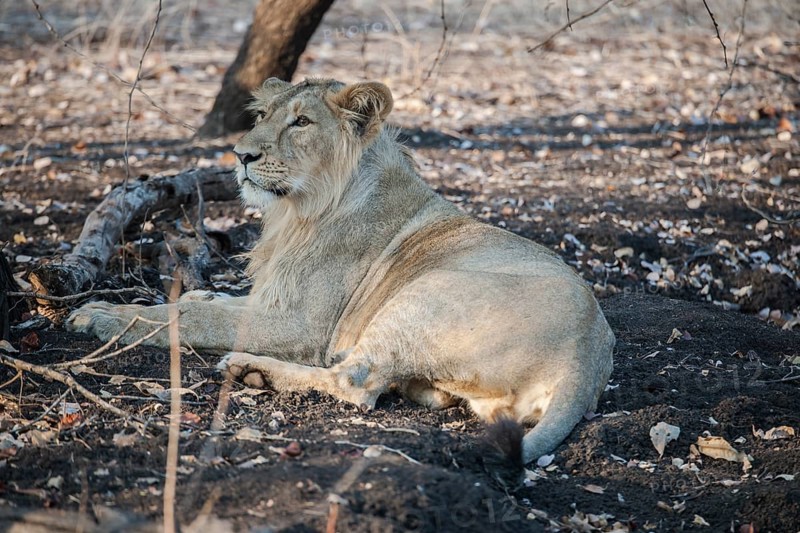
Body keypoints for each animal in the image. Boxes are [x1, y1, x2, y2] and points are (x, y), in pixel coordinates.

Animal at [67, 77, 615, 466]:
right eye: (262, 116)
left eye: (302, 123)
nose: (241, 155)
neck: (295, 213)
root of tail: (587, 358)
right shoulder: (275, 299)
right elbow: (209, 304)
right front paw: (197, 295)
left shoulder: (298, 324)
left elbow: (182, 318)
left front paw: (101, 315)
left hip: (422, 296)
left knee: (357, 382)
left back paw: (251, 370)